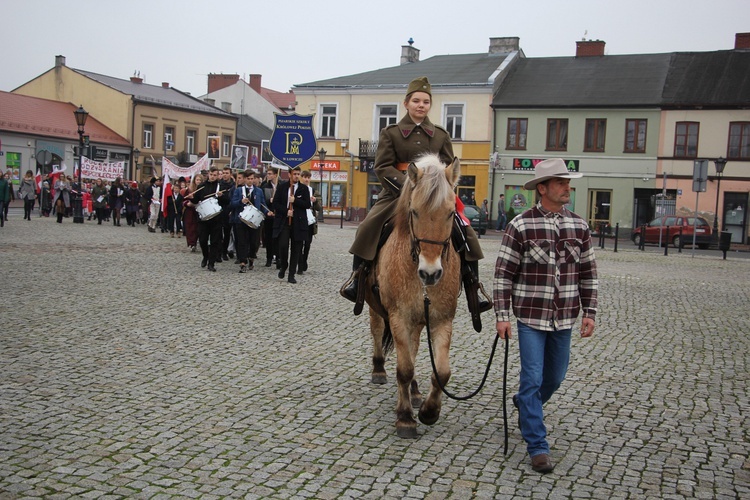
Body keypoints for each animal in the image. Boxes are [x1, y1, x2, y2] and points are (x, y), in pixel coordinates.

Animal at [366, 152, 464, 438]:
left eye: (450, 213)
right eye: (414, 211)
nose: (430, 273)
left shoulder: (442, 319)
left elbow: (442, 372)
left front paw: (429, 411)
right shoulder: (398, 317)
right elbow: (405, 368)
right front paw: (405, 417)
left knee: (414, 347)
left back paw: (416, 392)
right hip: (376, 306)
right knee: (377, 330)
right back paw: (379, 369)